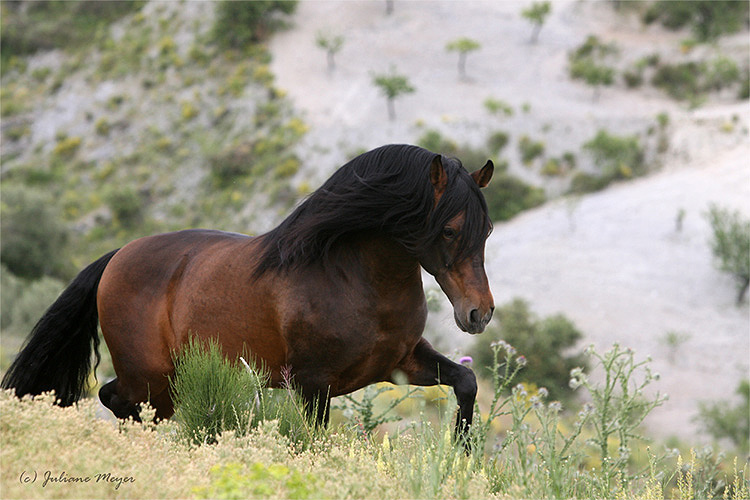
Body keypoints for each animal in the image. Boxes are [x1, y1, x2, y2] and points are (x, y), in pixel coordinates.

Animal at [2, 144, 496, 442]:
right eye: (449, 230)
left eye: (487, 229)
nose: (479, 313)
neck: (357, 279)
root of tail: (117, 256)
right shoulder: (313, 385)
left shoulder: (401, 362)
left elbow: (466, 382)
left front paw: (460, 453)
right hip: (149, 379)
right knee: (116, 401)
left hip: (164, 384)